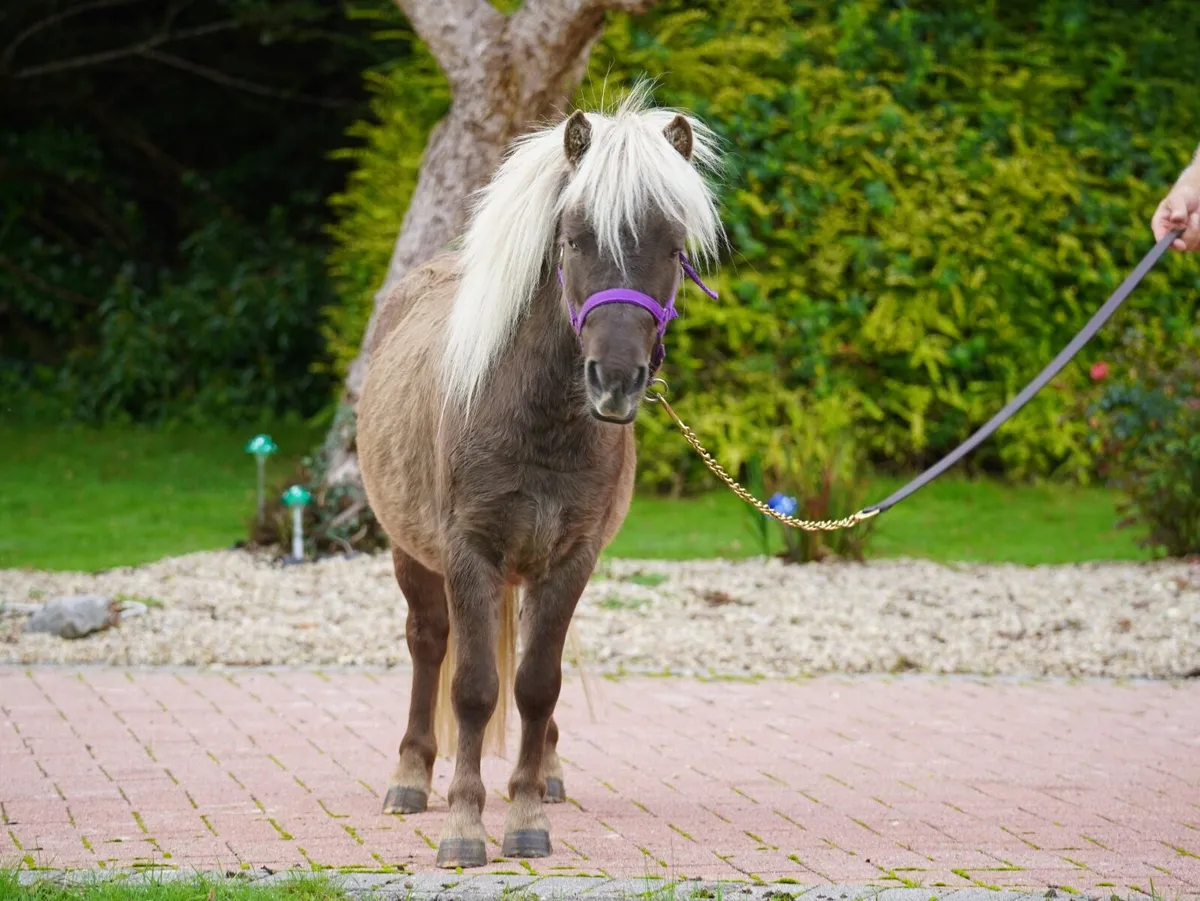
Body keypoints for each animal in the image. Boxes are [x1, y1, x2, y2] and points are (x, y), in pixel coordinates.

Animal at [356, 84, 724, 869]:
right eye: (575, 237)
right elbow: (472, 688)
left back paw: (548, 773)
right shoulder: (469, 554)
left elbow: (536, 684)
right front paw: (464, 826)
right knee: (428, 644)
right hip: (411, 554)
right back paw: (410, 778)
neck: (537, 416)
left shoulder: (571, 559)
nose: (616, 380)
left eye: (673, 246)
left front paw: (525, 816)